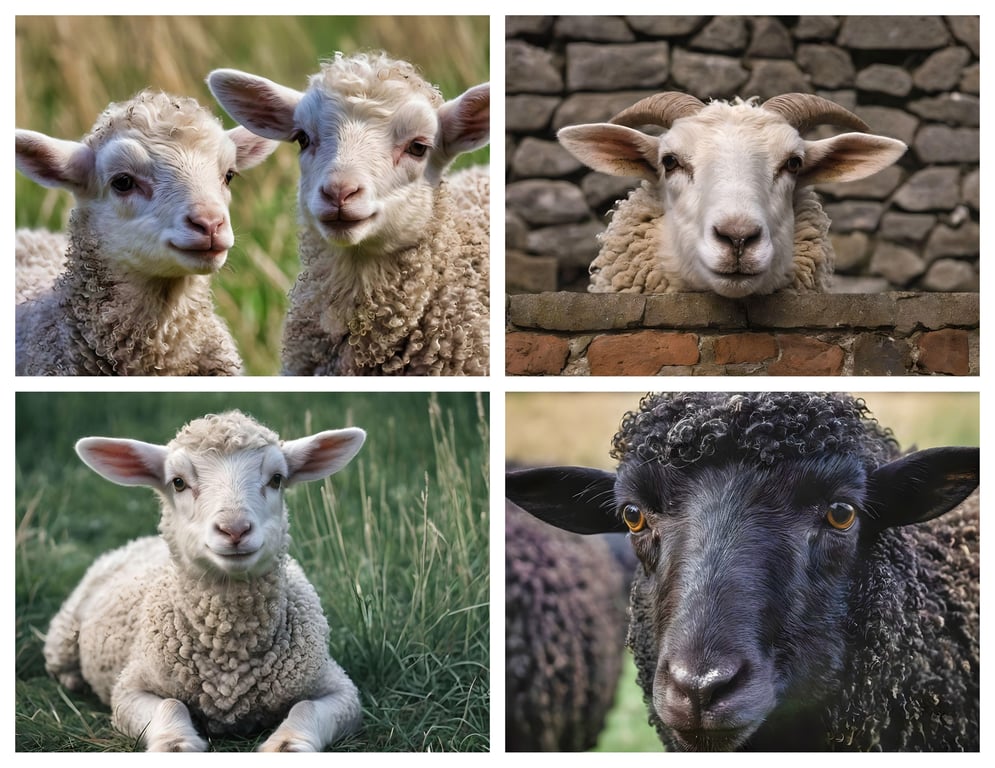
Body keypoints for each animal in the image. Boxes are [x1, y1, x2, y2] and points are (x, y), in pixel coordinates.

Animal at [43, 410, 366, 751]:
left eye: (277, 479)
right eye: (178, 482)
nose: (234, 528)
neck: (229, 651)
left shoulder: (339, 687)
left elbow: (306, 708)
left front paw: (286, 746)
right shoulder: (129, 687)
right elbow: (169, 705)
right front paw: (176, 744)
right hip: (64, 632)